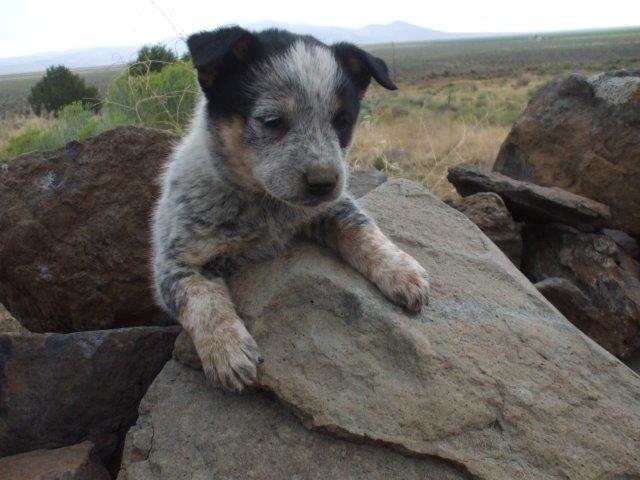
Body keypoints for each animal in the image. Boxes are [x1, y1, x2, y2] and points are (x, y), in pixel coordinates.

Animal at [151, 26, 430, 392]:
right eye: (272, 120)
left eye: (342, 120)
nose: (324, 182)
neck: (267, 209)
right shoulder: (176, 262)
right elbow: (202, 302)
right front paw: (228, 352)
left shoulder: (333, 207)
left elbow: (365, 230)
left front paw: (402, 270)